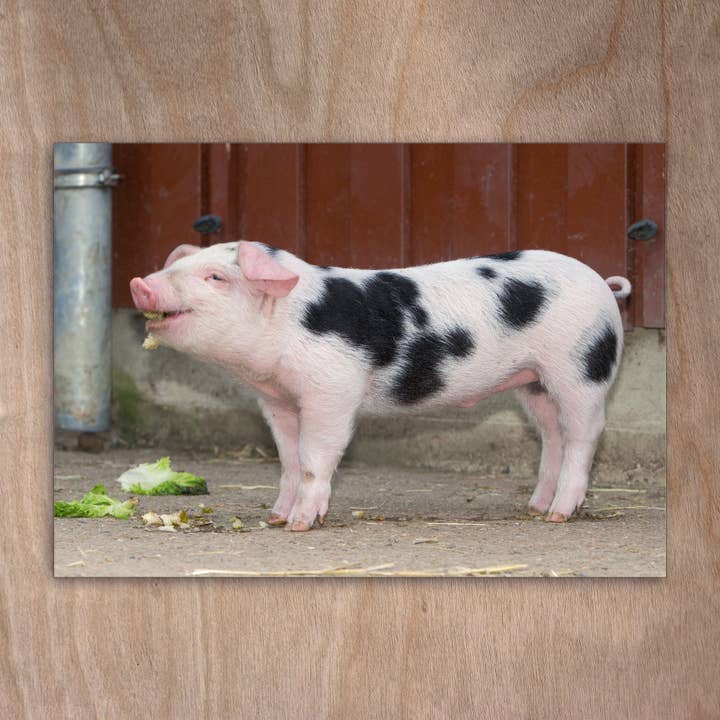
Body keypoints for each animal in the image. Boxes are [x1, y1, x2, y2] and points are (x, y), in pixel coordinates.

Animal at [130, 241, 631, 531]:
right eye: (181, 264)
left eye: (216, 276)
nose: (139, 282)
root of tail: (602, 284)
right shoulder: (277, 400)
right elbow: (288, 459)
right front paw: (274, 517)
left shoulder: (330, 389)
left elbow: (314, 458)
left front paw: (299, 525)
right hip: (533, 383)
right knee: (552, 436)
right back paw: (534, 509)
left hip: (581, 367)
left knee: (584, 434)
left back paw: (560, 514)